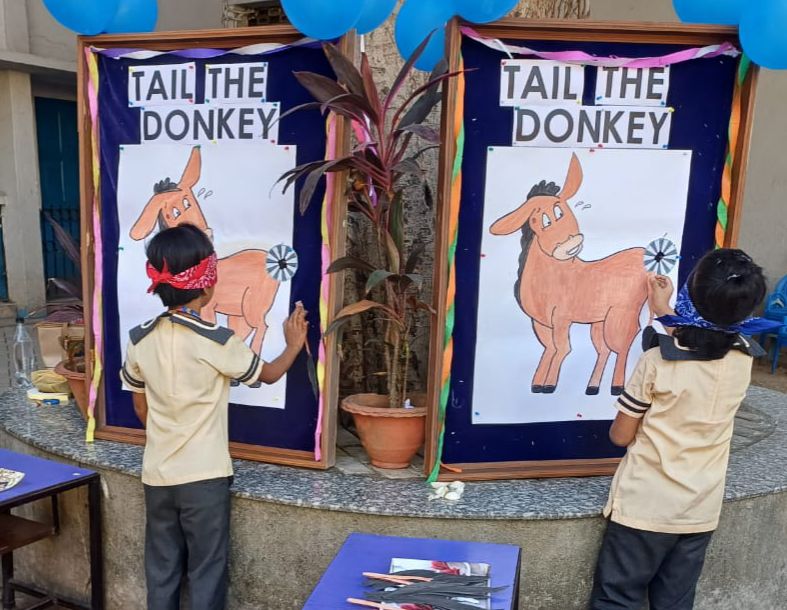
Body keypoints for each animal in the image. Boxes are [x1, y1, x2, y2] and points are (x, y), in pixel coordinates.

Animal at [129, 146, 280, 356]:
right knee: (252, 328)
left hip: (253, 305)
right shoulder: (209, 308)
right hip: (242, 311)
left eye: (188, 201)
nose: (205, 232)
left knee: (261, 326)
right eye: (172, 213)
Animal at [489, 153, 648, 396]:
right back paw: (592, 386)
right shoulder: (540, 322)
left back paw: (617, 386)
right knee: (603, 349)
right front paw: (537, 383)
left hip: (621, 315)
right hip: (599, 320)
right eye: (540, 221)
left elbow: (562, 348)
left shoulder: (562, 317)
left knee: (622, 345)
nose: (571, 244)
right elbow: (549, 348)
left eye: (560, 210)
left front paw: (549, 385)